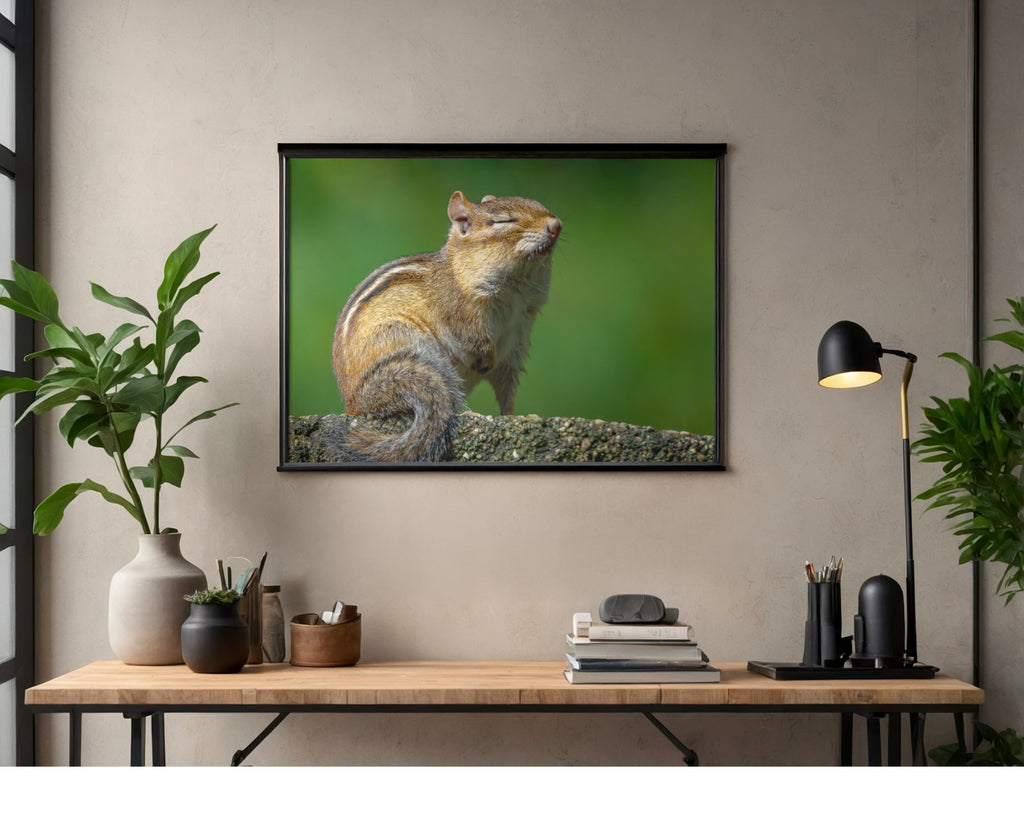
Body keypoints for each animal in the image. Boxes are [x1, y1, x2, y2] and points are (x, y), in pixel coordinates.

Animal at [332, 190, 562, 462]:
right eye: (504, 221)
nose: (556, 226)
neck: (517, 290)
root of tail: (355, 402)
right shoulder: (462, 313)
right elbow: (476, 342)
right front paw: (486, 361)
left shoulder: (516, 340)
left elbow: (506, 389)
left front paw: (516, 417)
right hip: (411, 347)